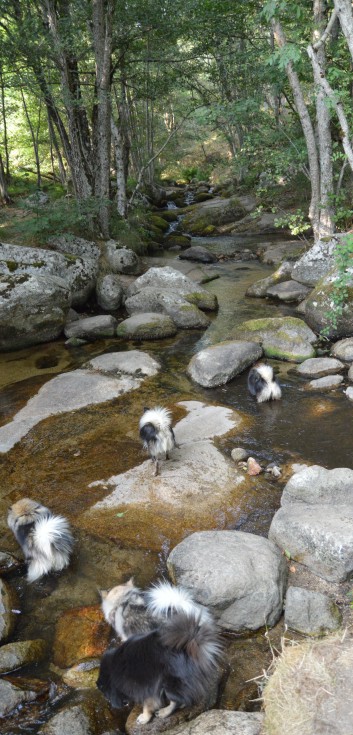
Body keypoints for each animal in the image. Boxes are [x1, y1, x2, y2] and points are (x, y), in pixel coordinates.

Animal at [95, 608, 223, 724]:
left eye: (106, 694)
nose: (111, 704)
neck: (113, 671)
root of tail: (190, 645)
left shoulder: (146, 685)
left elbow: (148, 704)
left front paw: (144, 718)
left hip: (171, 683)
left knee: (175, 700)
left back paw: (164, 712)